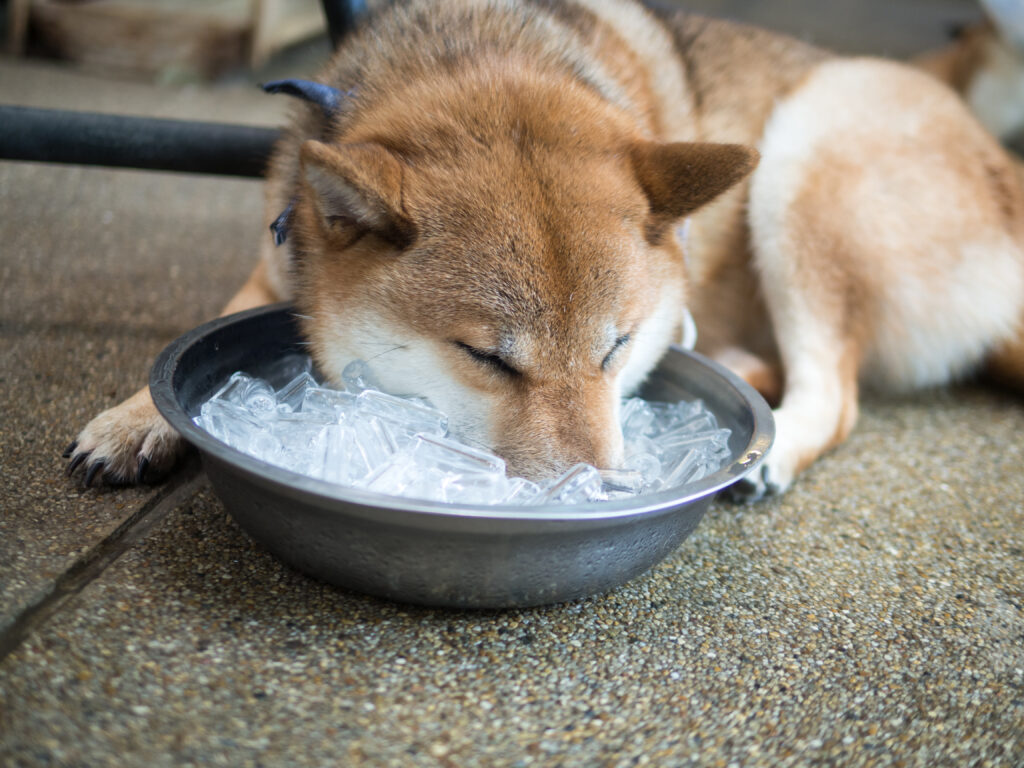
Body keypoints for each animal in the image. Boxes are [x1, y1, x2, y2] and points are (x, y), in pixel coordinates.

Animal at [64, 0, 1024, 501]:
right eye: (487, 357)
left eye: (616, 347)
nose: (590, 494)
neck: (480, 52)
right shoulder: (277, 256)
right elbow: (196, 337)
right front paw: (134, 419)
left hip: (806, 153)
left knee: (835, 393)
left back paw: (773, 446)